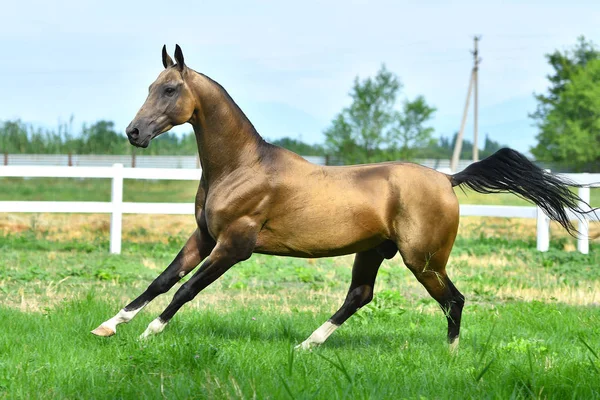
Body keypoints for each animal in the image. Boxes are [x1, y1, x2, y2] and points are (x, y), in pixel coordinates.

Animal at [91, 44, 596, 350]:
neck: (241, 167)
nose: (134, 133)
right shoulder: (203, 237)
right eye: (150, 87)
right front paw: (108, 326)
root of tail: (447, 179)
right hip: (374, 251)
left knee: (453, 300)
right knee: (360, 295)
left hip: (424, 259)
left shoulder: (234, 246)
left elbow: (187, 288)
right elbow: (162, 281)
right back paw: (307, 344)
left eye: (169, 89)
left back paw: (451, 356)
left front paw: (148, 335)